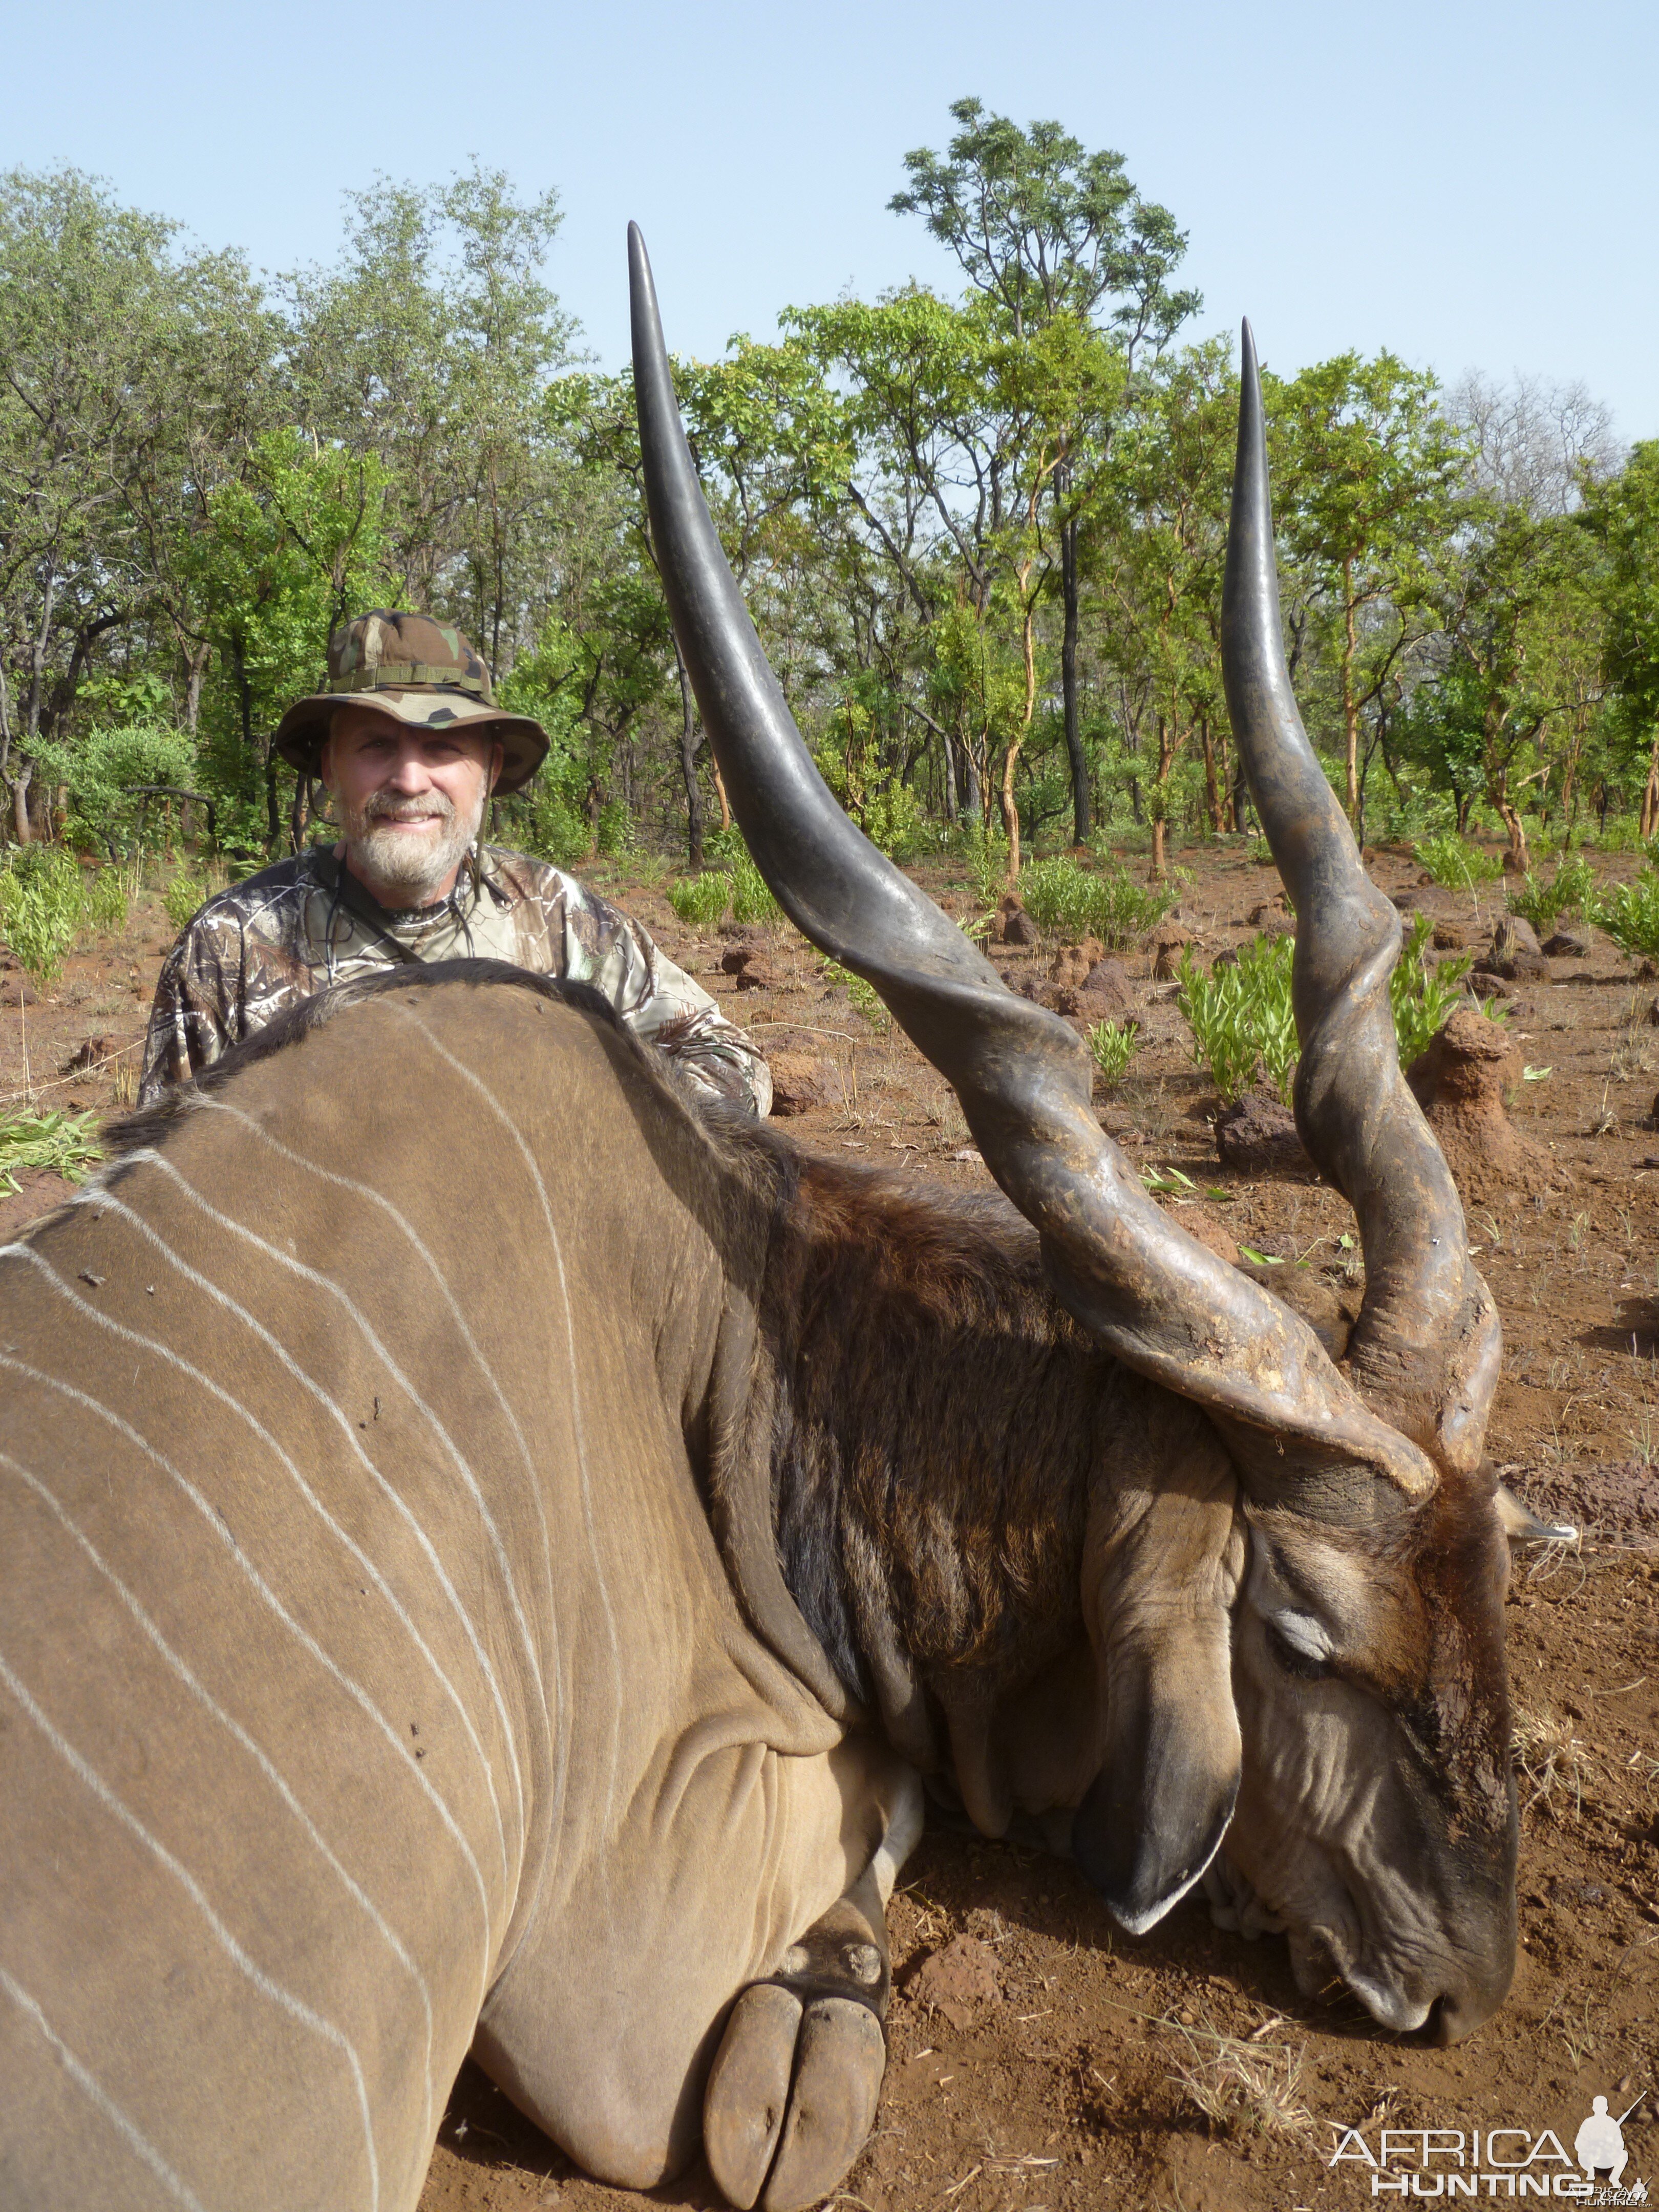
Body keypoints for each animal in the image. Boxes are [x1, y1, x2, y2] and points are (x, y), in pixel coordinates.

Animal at [0, 233, 1530, 2203]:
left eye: (1495, 1570)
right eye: (1303, 1636)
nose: (1461, 1982)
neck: (729, 1346)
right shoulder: (627, 1981)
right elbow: (855, 1850)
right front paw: (817, 2037)